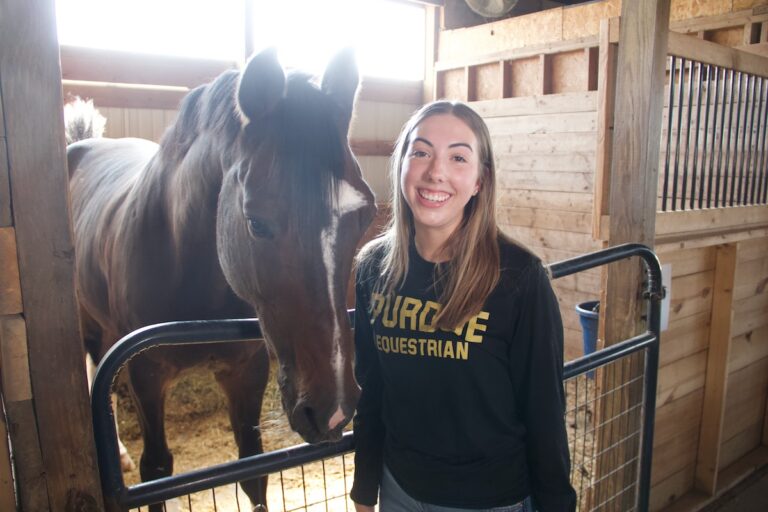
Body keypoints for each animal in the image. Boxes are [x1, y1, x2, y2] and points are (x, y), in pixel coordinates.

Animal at [66, 47, 376, 510]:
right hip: (90, 324)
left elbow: (253, 469)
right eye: (256, 222)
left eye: (365, 215)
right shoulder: (145, 374)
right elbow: (156, 470)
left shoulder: (246, 372)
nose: (332, 410)